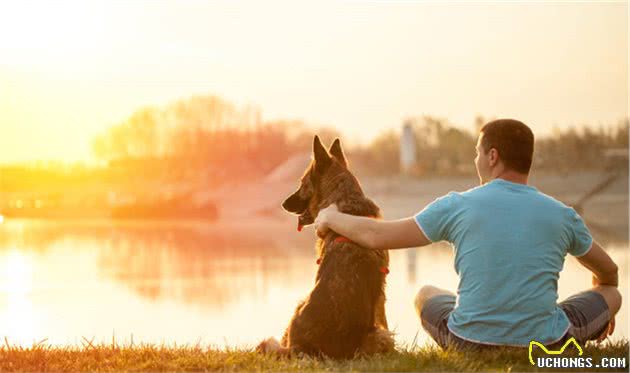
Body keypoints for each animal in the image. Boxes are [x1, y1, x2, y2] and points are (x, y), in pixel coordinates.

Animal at [256, 136, 396, 358]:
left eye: (302, 183)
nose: (283, 204)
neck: (345, 199)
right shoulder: (380, 295)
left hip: (299, 304)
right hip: (380, 336)